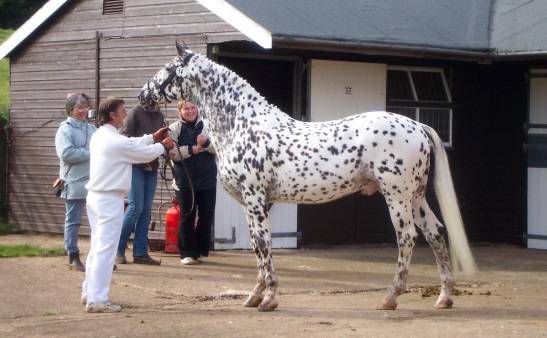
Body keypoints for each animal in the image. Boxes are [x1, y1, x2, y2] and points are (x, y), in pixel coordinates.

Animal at [139, 42, 478, 312]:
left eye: (167, 69)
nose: (143, 95)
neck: (242, 125)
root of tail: (418, 126)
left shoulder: (255, 198)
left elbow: (263, 244)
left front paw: (268, 298)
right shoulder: (257, 203)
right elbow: (258, 246)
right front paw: (255, 295)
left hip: (397, 196)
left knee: (407, 237)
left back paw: (390, 298)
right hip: (415, 196)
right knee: (436, 232)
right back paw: (444, 297)